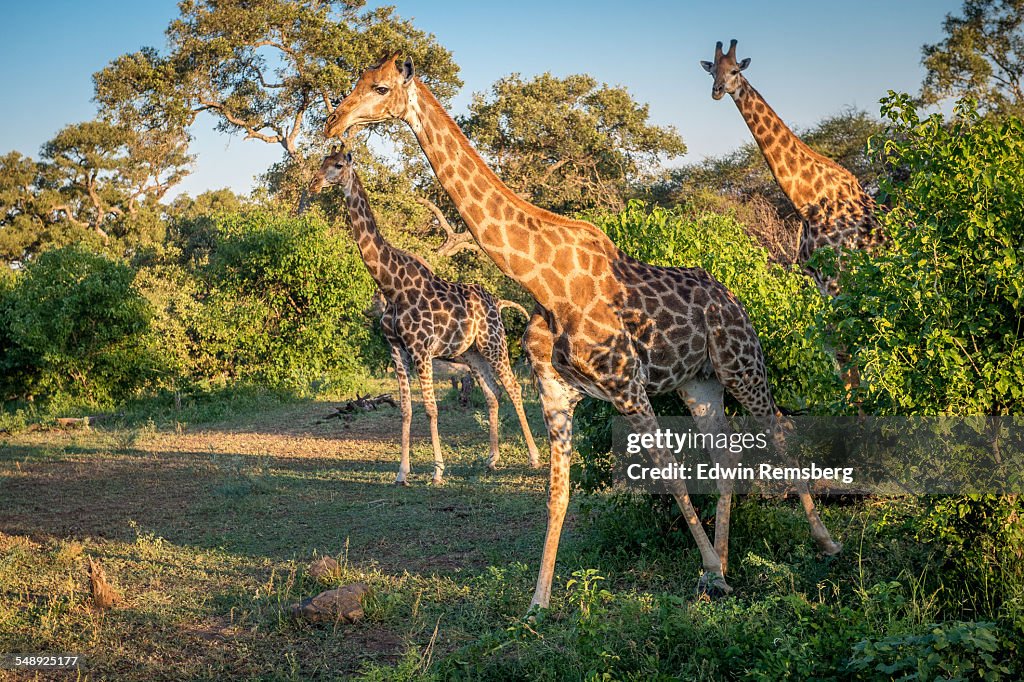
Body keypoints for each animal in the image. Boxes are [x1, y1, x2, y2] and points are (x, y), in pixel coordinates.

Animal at [306, 144, 542, 485]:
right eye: (322, 162)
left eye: (337, 165)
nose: (313, 184)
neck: (392, 286)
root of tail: (497, 302)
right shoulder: (396, 350)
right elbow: (406, 409)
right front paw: (401, 473)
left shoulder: (420, 350)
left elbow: (431, 408)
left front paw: (437, 471)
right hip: (471, 354)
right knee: (493, 393)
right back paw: (491, 459)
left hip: (493, 345)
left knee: (514, 388)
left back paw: (535, 457)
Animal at [701, 39, 885, 295]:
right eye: (712, 71)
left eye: (735, 71)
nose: (717, 90)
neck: (808, 200)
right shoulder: (819, 280)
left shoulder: (838, 278)